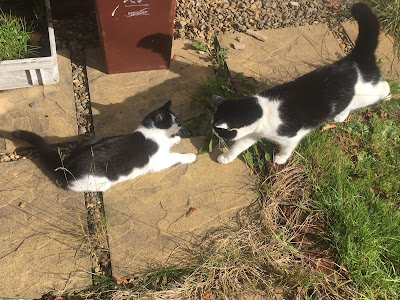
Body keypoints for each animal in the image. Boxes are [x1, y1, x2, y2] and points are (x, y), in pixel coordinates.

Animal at [13, 101, 198, 192]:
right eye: (172, 121)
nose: (180, 124)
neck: (151, 133)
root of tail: (66, 163)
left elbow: (170, 143)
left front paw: (175, 140)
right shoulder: (158, 162)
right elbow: (175, 157)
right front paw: (190, 156)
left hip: (94, 138)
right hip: (90, 178)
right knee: (73, 187)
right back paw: (103, 186)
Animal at [212, 2, 390, 165]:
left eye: (218, 131)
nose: (213, 133)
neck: (265, 110)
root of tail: (355, 58)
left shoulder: (291, 137)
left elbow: (286, 149)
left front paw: (280, 159)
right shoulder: (253, 134)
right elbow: (239, 146)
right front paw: (226, 157)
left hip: (367, 94)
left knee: (383, 87)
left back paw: (388, 96)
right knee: (349, 104)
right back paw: (340, 115)